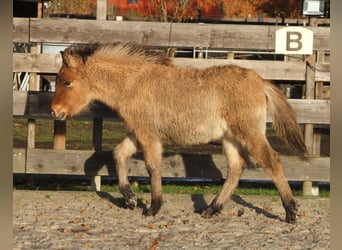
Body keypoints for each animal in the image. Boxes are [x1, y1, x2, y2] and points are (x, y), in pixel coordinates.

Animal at [50, 43, 308, 225]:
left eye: (67, 82)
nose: (55, 112)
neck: (132, 84)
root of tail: (261, 80)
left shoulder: (148, 135)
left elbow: (152, 166)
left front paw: (153, 207)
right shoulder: (138, 132)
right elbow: (118, 154)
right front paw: (130, 199)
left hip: (249, 132)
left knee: (272, 161)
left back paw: (290, 212)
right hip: (229, 138)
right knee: (236, 168)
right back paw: (211, 209)